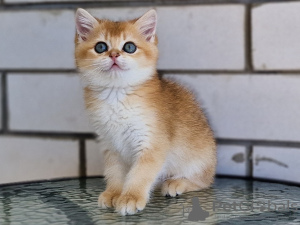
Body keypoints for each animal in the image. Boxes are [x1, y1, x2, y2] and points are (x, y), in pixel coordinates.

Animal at [74, 7, 217, 215]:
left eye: (129, 47)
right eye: (100, 47)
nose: (114, 55)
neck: (117, 95)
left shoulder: (152, 144)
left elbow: (141, 173)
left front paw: (130, 197)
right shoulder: (111, 145)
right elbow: (114, 172)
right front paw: (114, 192)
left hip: (199, 160)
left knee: (204, 181)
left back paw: (176, 183)